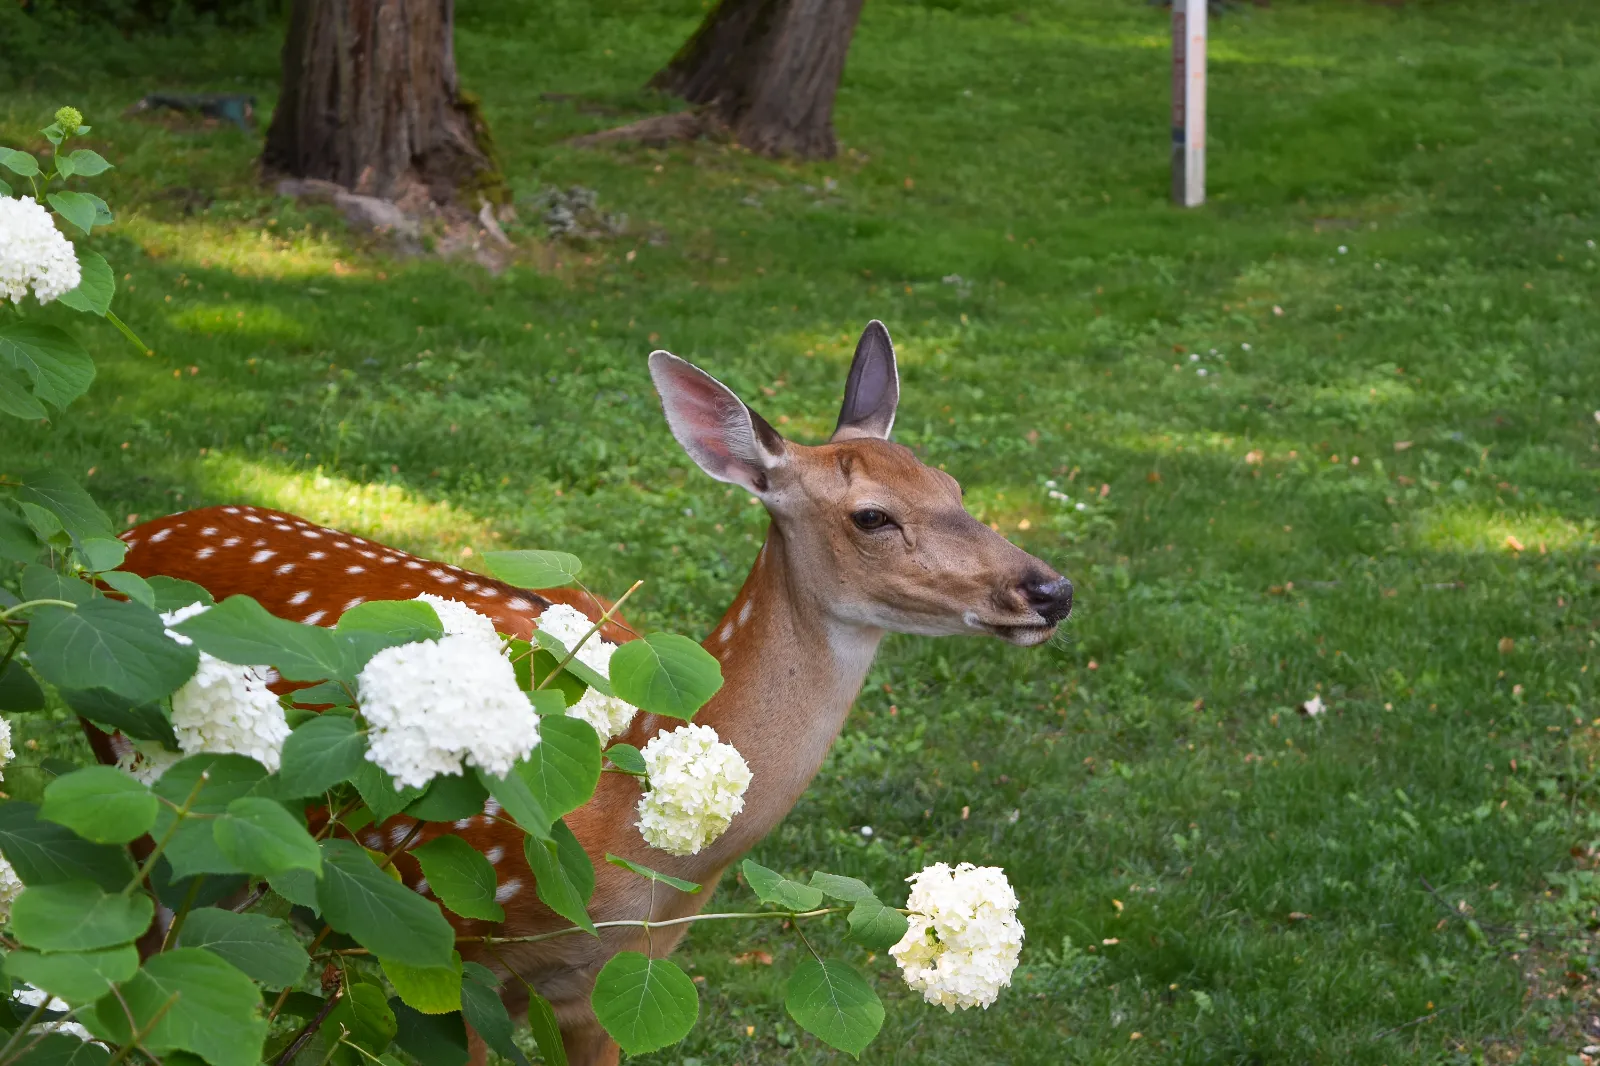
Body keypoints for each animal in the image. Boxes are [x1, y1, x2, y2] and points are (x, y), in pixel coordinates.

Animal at [111, 321, 1074, 1066]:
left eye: (953, 488)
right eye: (871, 515)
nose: (1051, 590)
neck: (632, 837)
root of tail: (126, 534)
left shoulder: (608, 981)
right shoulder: (456, 954)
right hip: (142, 794)